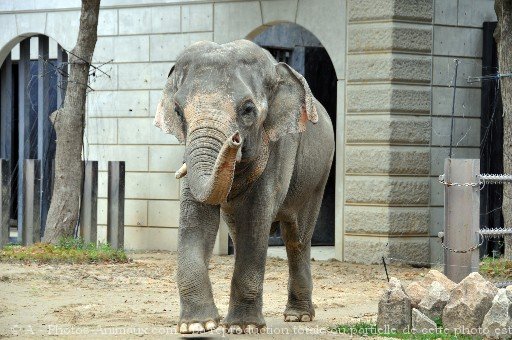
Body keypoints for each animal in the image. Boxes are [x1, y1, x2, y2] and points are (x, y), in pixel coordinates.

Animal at [154, 39, 334, 332]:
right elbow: (197, 219)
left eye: (248, 110)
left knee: (297, 237)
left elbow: (255, 219)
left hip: (318, 175)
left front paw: (243, 327)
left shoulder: (279, 147)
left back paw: (298, 316)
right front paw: (198, 325)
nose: (235, 140)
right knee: (240, 231)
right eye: (179, 111)